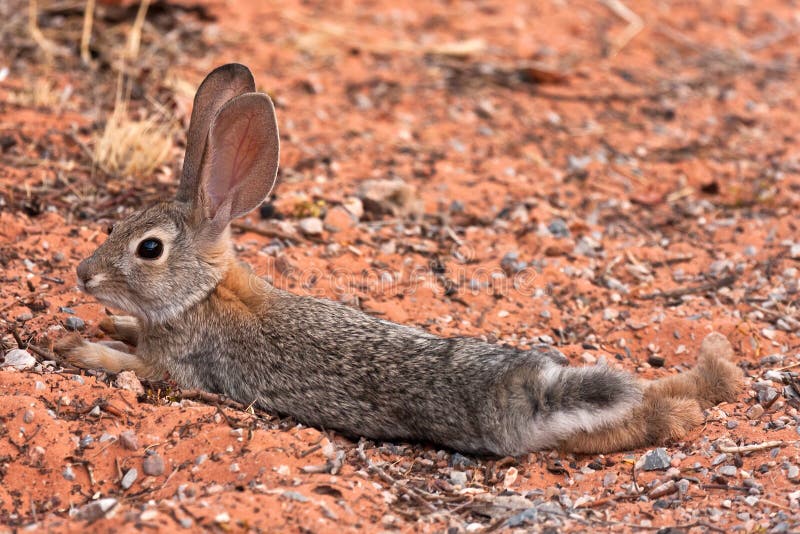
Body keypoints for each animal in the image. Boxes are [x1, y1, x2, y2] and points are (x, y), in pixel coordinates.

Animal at [57, 62, 744, 456]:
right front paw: (109, 322)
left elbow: (137, 368)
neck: (200, 293)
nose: (83, 275)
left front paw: (84, 350)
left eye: (149, 249)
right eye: (118, 224)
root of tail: (530, 391)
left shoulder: (179, 368)